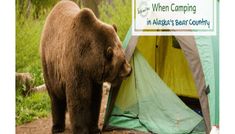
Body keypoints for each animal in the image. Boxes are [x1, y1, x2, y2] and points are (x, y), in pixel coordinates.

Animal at [40, 0, 132, 133]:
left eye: (124, 54)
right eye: (122, 61)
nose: (130, 70)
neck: (90, 60)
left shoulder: (94, 77)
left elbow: (95, 99)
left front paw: (94, 128)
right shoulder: (76, 64)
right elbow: (79, 98)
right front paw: (81, 129)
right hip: (49, 65)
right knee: (55, 96)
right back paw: (57, 127)